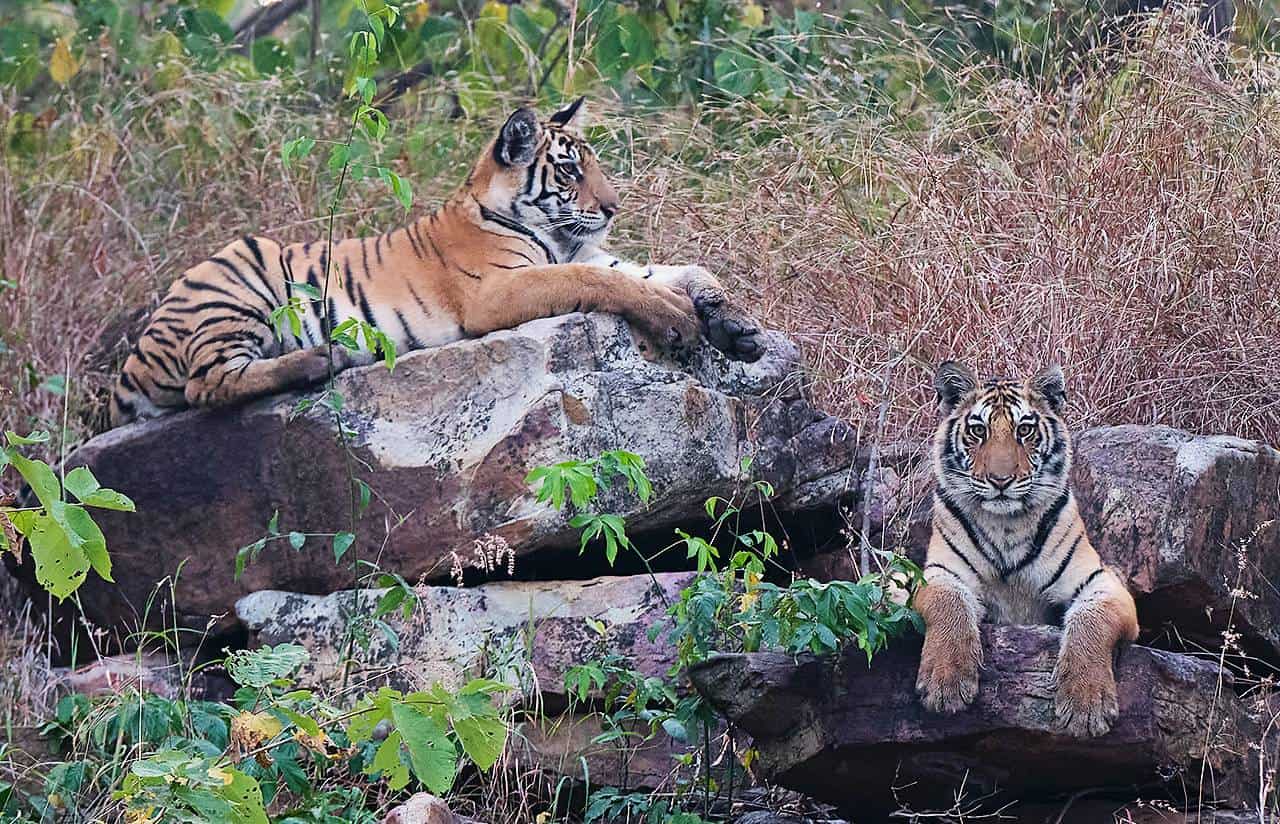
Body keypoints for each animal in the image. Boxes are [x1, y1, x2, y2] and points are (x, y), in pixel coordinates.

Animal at [107, 97, 757, 424]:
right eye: (571, 170)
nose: (615, 207)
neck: (550, 230)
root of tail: (131, 363)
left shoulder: (598, 254)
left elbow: (680, 270)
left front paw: (737, 327)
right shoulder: (496, 291)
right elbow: (591, 277)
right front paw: (676, 319)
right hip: (239, 272)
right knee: (207, 384)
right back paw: (324, 359)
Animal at [916, 363, 1136, 736]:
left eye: (1025, 430)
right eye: (978, 431)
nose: (1000, 480)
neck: (1006, 526)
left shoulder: (1102, 582)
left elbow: (1092, 619)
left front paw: (1086, 704)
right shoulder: (935, 574)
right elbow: (948, 602)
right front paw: (946, 683)